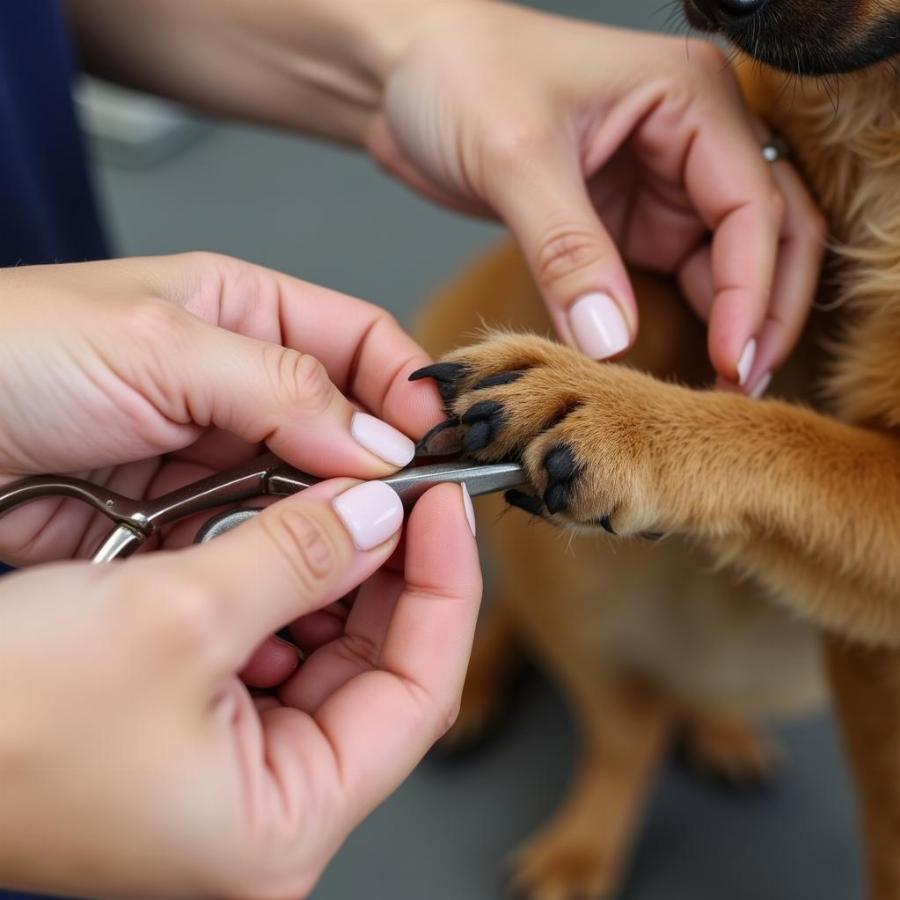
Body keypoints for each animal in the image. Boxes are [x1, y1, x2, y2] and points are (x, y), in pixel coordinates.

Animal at [414, 3, 900, 896]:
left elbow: (798, 441)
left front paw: (621, 416)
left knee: (664, 704)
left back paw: (713, 726)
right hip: (581, 598)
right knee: (619, 719)